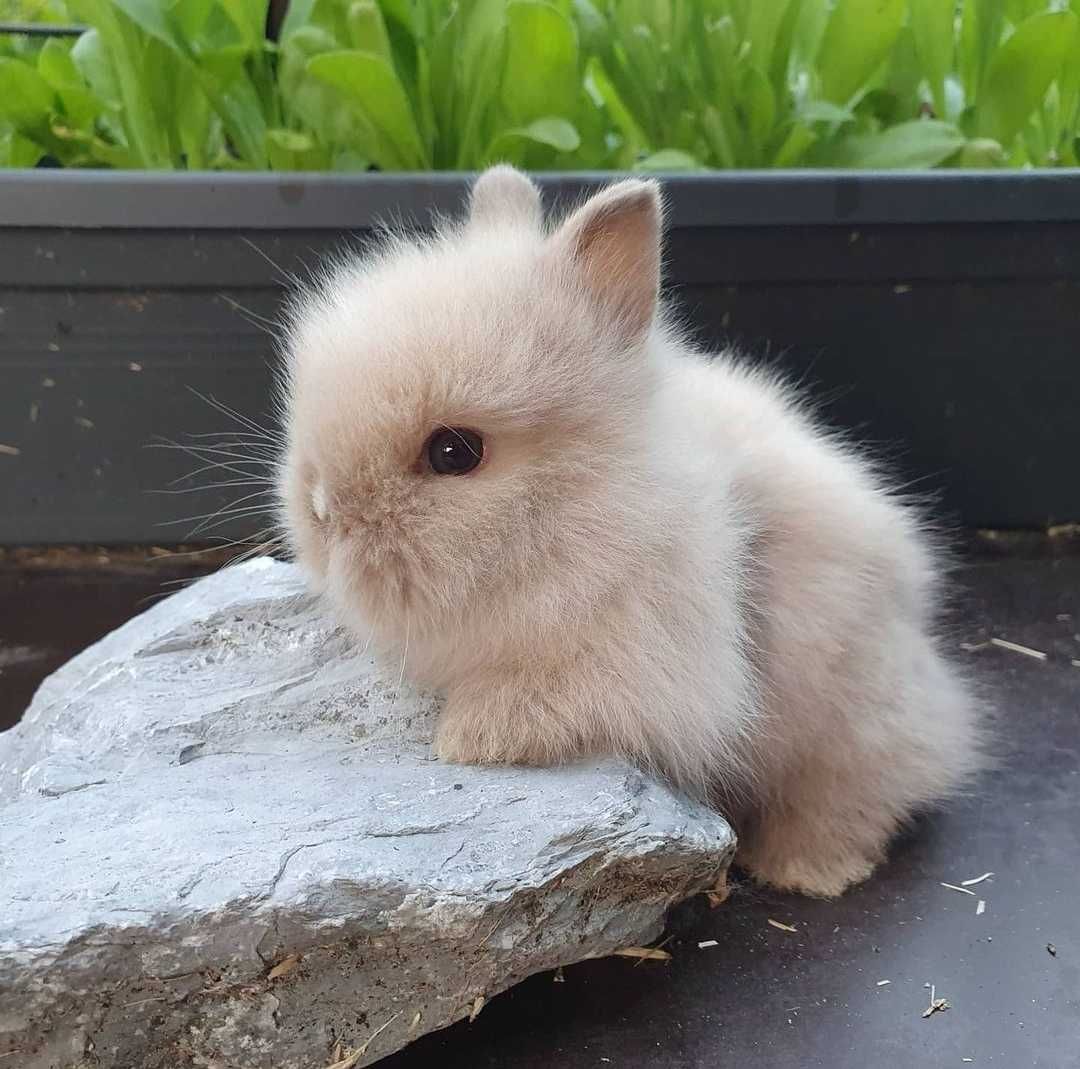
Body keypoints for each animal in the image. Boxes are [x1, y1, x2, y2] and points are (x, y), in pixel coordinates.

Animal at [276, 167, 980, 898]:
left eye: (454, 452)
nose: (324, 515)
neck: (581, 505)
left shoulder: (642, 661)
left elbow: (546, 697)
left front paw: (465, 740)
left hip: (855, 725)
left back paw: (803, 873)